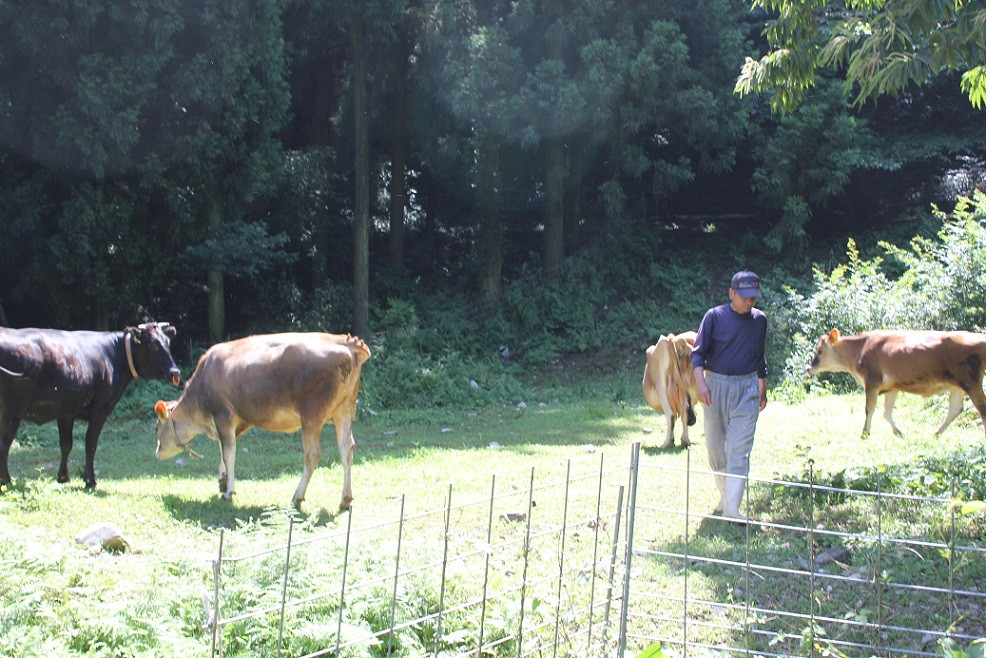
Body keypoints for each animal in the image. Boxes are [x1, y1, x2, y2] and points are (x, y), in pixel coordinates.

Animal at [0, 320, 180, 484]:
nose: (175, 371)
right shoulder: (100, 410)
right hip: (12, 411)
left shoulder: (66, 410)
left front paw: (63, 477)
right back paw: (6, 481)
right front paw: (90, 480)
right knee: (5, 444)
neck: (114, 355)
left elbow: (66, 444)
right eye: (152, 344)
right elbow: (90, 444)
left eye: (168, 342)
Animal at [154, 334, 368, 508]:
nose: (157, 452)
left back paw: (297, 498)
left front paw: (228, 491)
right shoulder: (229, 421)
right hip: (344, 408)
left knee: (313, 454)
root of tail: (344, 340)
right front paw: (222, 480)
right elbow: (223, 449)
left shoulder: (223, 414)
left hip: (312, 415)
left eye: (156, 427)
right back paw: (345, 499)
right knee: (346, 447)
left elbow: (229, 453)